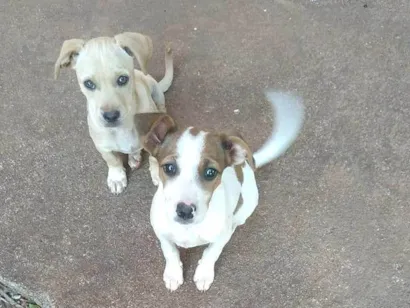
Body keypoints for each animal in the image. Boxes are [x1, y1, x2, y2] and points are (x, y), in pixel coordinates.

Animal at [54, 32, 173, 194]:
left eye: (122, 79)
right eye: (88, 84)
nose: (110, 116)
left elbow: (154, 158)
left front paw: (156, 174)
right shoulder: (102, 146)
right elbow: (112, 160)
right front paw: (117, 177)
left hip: (155, 89)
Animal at [143, 91, 304, 292]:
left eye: (210, 172)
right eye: (169, 168)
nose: (185, 211)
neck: (189, 229)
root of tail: (245, 164)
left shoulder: (220, 236)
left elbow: (212, 252)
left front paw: (204, 274)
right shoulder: (161, 232)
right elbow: (170, 251)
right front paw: (173, 273)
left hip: (247, 206)